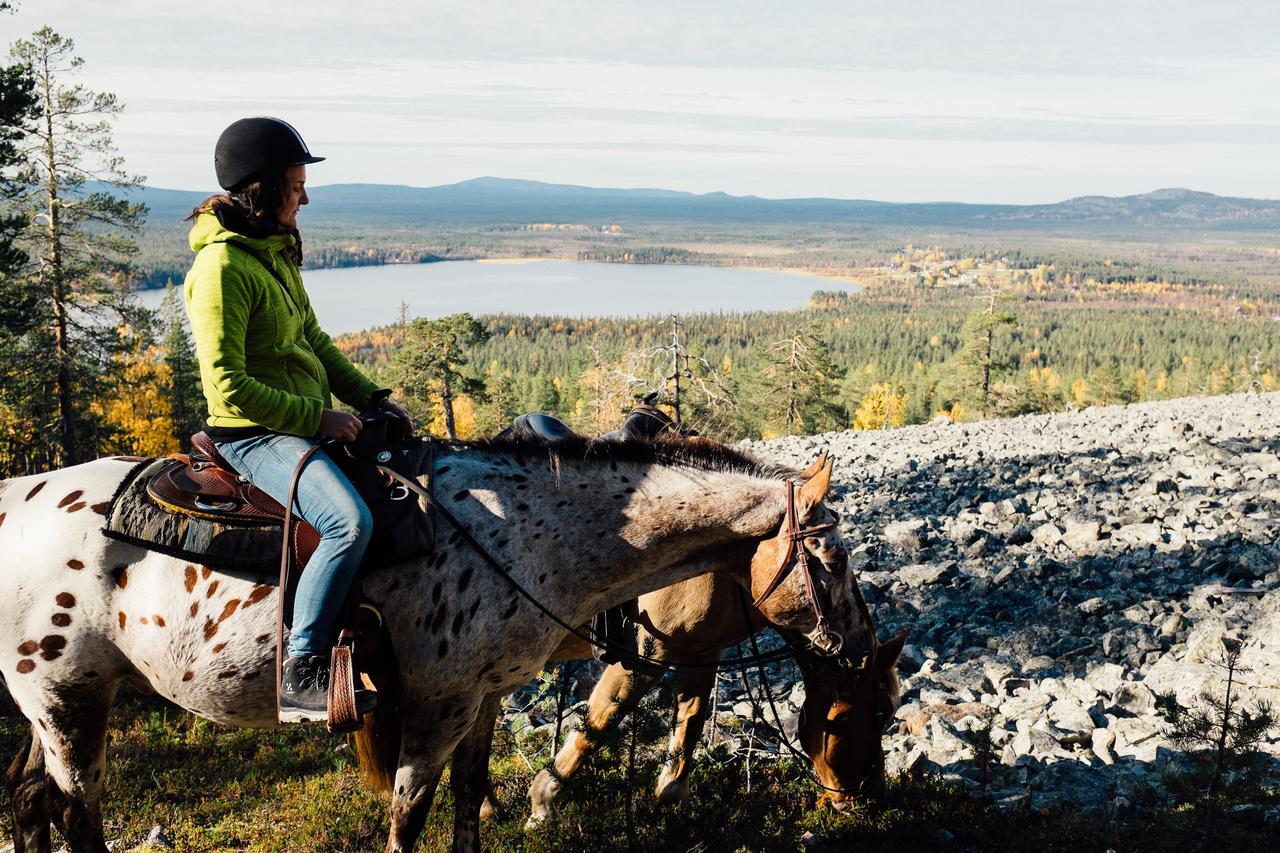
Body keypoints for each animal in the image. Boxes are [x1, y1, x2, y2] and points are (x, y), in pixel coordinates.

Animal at [0, 438, 865, 850]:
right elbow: (409, 813)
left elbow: (468, 802)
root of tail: (13, 498)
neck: (530, 536)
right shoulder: (439, 702)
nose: (852, 643)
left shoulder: (481, 697)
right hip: (65, 700)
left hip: (66, 698)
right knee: (74, 810)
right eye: (832, 555)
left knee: (31, 796)